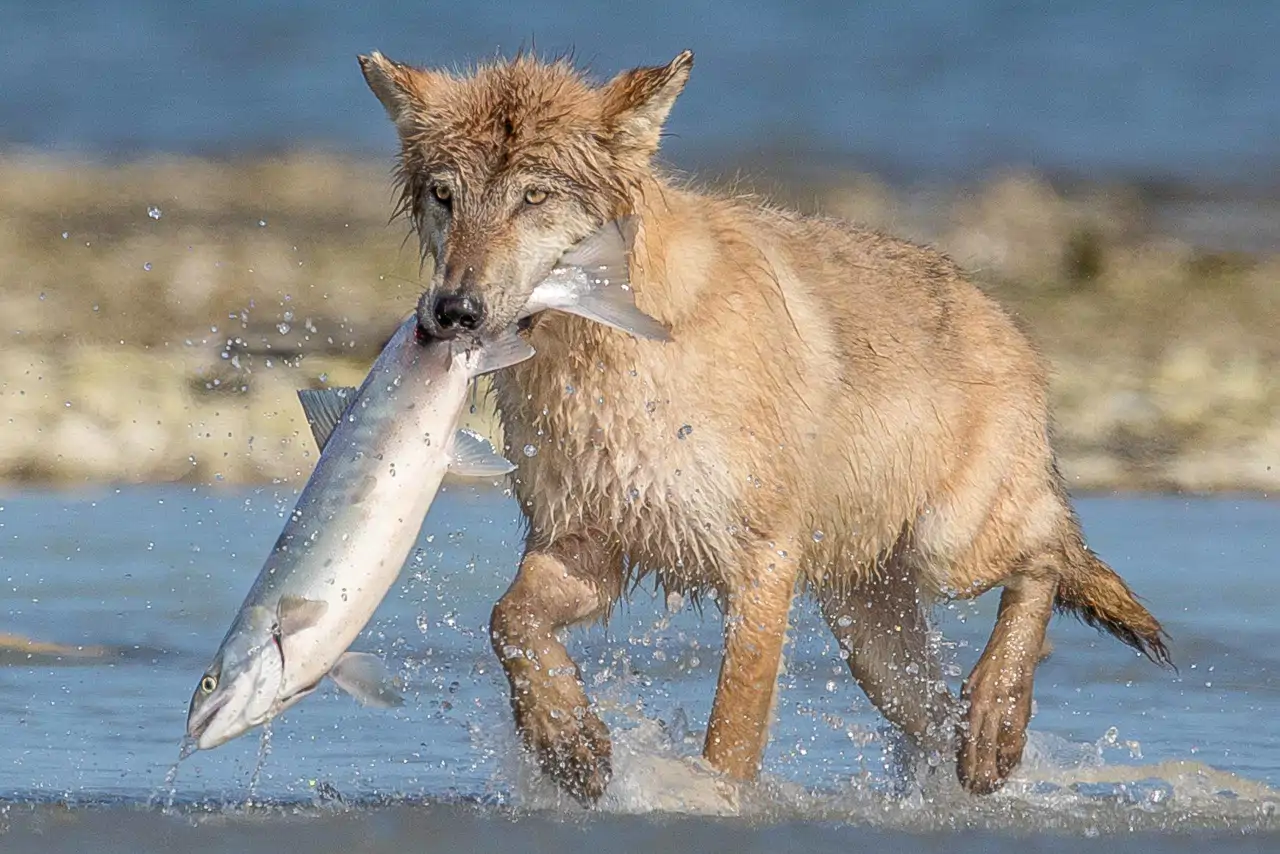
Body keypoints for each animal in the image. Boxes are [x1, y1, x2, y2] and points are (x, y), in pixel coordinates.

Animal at [358, 48, 1170, 804]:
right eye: (445, 196)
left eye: (533, 197)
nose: (454, 311)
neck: (610, 355)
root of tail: (1007, 321)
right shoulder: (586, 544)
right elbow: (509, 622)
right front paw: (567, 741)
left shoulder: (762, 566)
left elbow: (733, 732)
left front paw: (713, 800)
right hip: (870, 639)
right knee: (935, 711)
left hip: (951, 547)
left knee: (1049, 549)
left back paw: (997, 720)